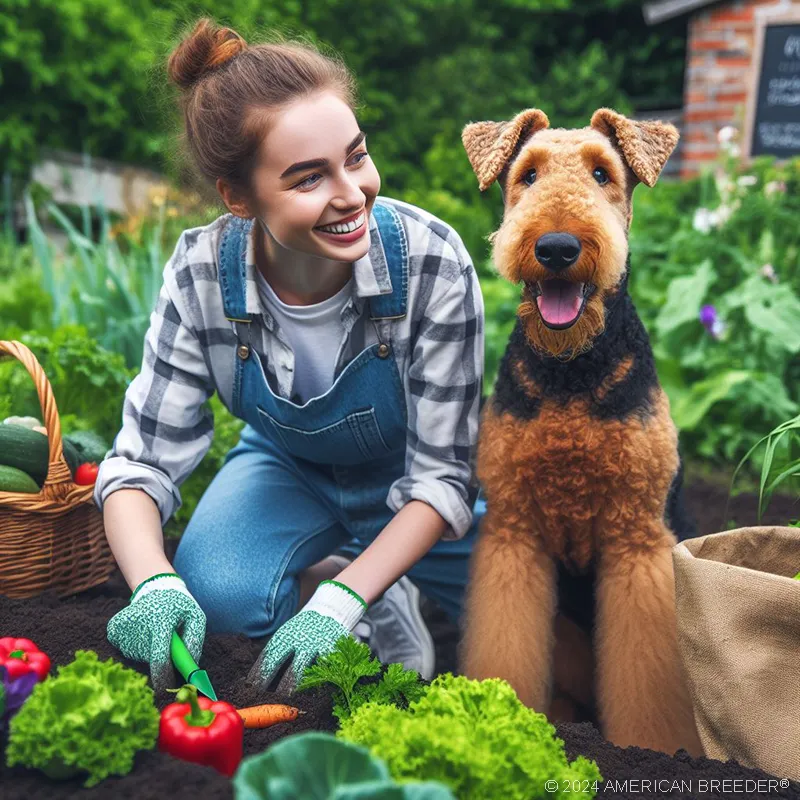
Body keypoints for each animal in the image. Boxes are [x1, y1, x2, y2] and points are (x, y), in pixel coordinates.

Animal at [460, 108, 704, 756]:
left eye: (602, 173)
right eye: (526, 174)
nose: (557, 247)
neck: (571, 369)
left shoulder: (637, 540)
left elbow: (647, 680)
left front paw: (653, 749)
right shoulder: (514, 531)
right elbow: (506, 647)